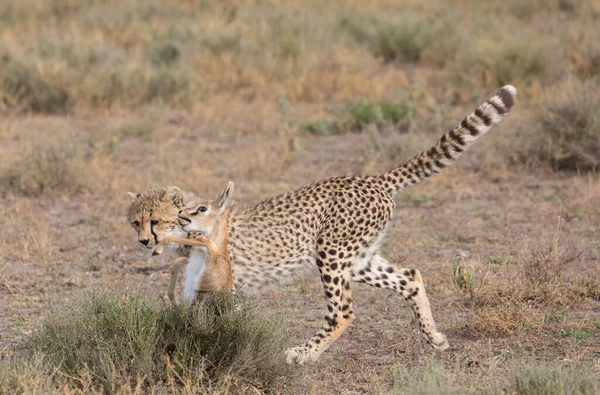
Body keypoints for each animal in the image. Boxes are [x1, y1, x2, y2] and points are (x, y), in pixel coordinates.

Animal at [130, 86, 516, 366]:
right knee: (410, 276)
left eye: (157, 221)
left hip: (331, 254)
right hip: (357, 260)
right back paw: (434, 337)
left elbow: (221, 320)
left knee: (342, 312)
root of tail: (373, 179)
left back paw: (303, 354)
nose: (144, 242)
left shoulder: (228, 281)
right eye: (136, 222)